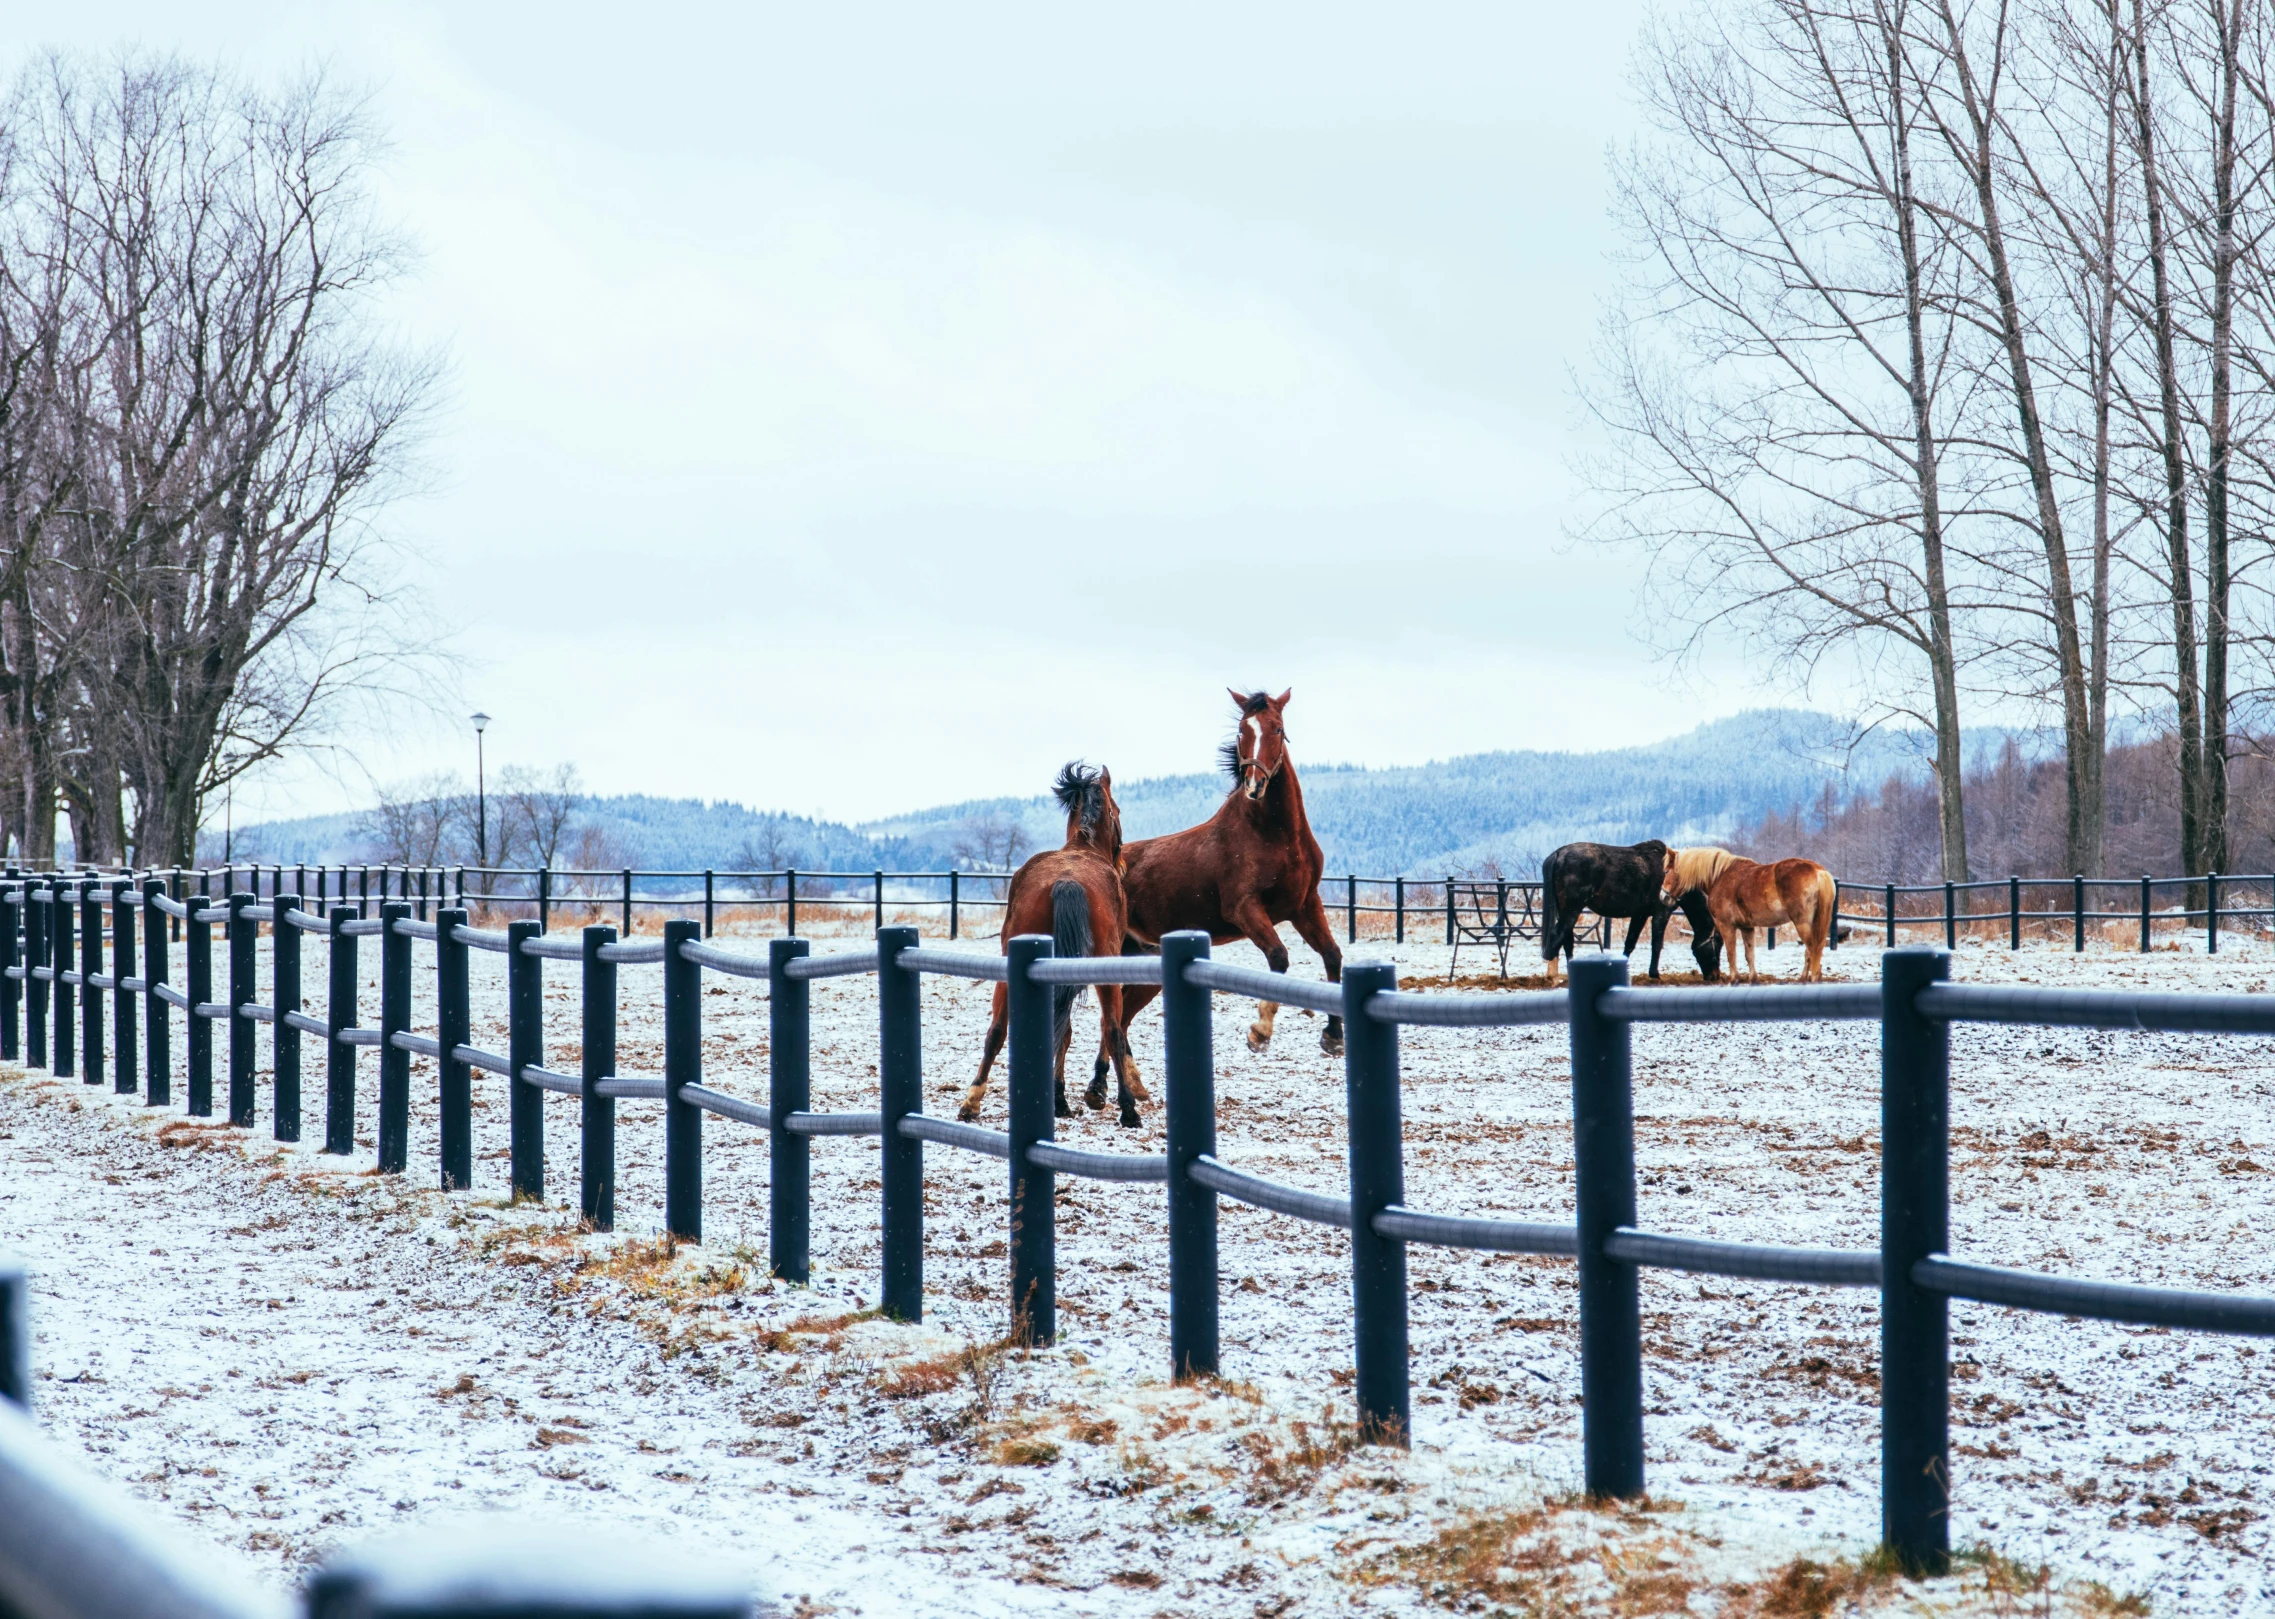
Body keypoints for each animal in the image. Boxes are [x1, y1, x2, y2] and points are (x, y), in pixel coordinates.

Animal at [955, 764, 1146, 1127]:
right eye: (1117, 810)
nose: (1123, 865)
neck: (1083, 847)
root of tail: (1066, 882)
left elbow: (1059, 1031)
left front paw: (1057, 1099)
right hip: (1106, 977)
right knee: (1113, 1031)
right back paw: (1128, 1109)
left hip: (1008, 975)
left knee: (996, 1031)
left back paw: (971, 1102)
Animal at [1092, 682, 1337, 1073]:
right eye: (1242, 731)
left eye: (1277, 729)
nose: (1254, 785)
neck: (1275, 836)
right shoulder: (1244, 907)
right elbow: (1279, 956)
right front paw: (1259, 1033)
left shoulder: (1304, 905)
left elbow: (1332, 955)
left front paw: (1334, 1036)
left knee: (1118, 1017)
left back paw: (1100, 1084)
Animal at [1665, 845, 1838, 986]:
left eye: (1666, 871)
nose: (1663, 896)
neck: (1720, 876)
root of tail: (1818, 871)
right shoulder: (1747, 927)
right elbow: (1749, 954)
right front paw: (1753, 979)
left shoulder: (1726, 926)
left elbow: (1731, 953)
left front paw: (1734, 980)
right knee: (1811, 950)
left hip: (1802, 923)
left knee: (1812, 949)